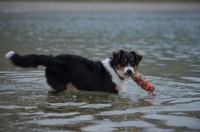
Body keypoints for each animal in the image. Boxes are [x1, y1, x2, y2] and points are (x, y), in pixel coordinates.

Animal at [4, 49, 142, 94]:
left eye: (132, 62)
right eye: (123, 62)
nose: (129, 71)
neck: (115, 70)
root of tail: (52, 58)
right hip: (64, 84)